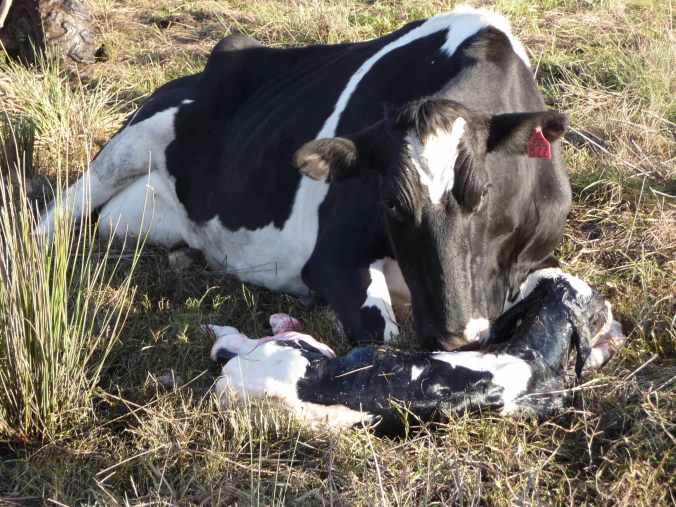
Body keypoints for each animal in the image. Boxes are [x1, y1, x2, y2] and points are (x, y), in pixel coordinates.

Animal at [36, 6, 572, 350]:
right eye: (391, 203)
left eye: (481, 194)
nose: (454, 335)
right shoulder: (332, 256)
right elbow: (379, 335)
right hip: (134, 138)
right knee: (58, 212)